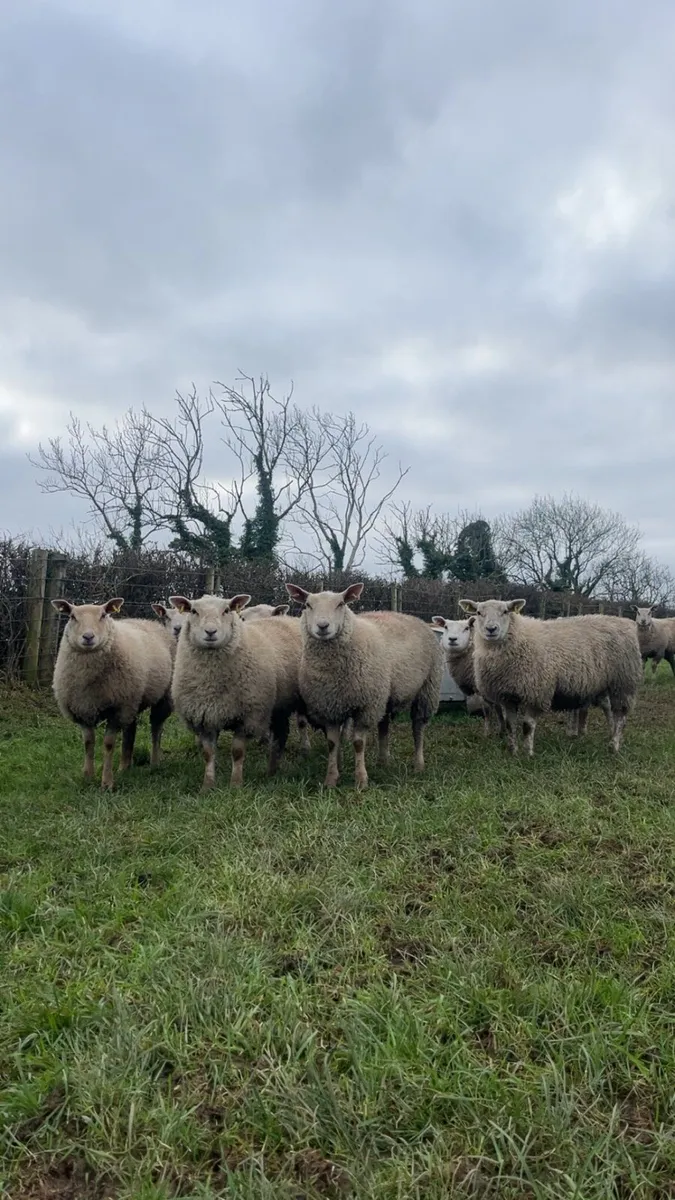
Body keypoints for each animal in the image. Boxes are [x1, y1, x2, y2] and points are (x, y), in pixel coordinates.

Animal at [51, 598, 174, 790]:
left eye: (103, 615)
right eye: (72, 616)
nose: (88, 637)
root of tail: (147, 621)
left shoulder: (117, 710)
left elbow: (108, 744)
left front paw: (107, 782)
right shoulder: (82, 709)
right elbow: (88, 743)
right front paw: (88, 776)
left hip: (159, 698)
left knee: (156, 728)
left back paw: (154, 762)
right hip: (132, 701)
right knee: (131, 729)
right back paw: (125, 766)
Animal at [168, 593, 304, 790]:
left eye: (226, 610)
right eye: (193, 611)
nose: (210, 632)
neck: (211, 685)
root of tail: (288, 619)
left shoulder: (247, 716)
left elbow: (238, 752)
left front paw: (236, 785)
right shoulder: (205, 717)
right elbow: (208, 754)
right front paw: (207, 786)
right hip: (279, 705)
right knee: (281, 733)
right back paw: (272, 770)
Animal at [285, 583, 442, 790]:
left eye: (341, 604)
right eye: (307, 605)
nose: (323, 626)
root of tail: (410, 616)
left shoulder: (365, 707)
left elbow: (359, 743)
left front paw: (361, 780)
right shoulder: (330, 706)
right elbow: (332, 744)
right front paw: (331, 779)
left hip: (427, 688)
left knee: (418, 727)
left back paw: (418, 764)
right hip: (384, 694)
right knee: (384, 725)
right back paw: (382, 761)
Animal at [459, 598, 642, 756]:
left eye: (505, 611)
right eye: (478, 612)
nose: (491, 629)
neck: (518, 638)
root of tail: (624, 621)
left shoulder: (536, 692)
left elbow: (527, 726)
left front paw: (528, 753)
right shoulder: (508, 695)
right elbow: (511, 725)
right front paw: (513, 751)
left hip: (623, 681)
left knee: (620, 716)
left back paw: (614, 745)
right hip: (603, 683)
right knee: (609, 709)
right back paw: (610, 736)